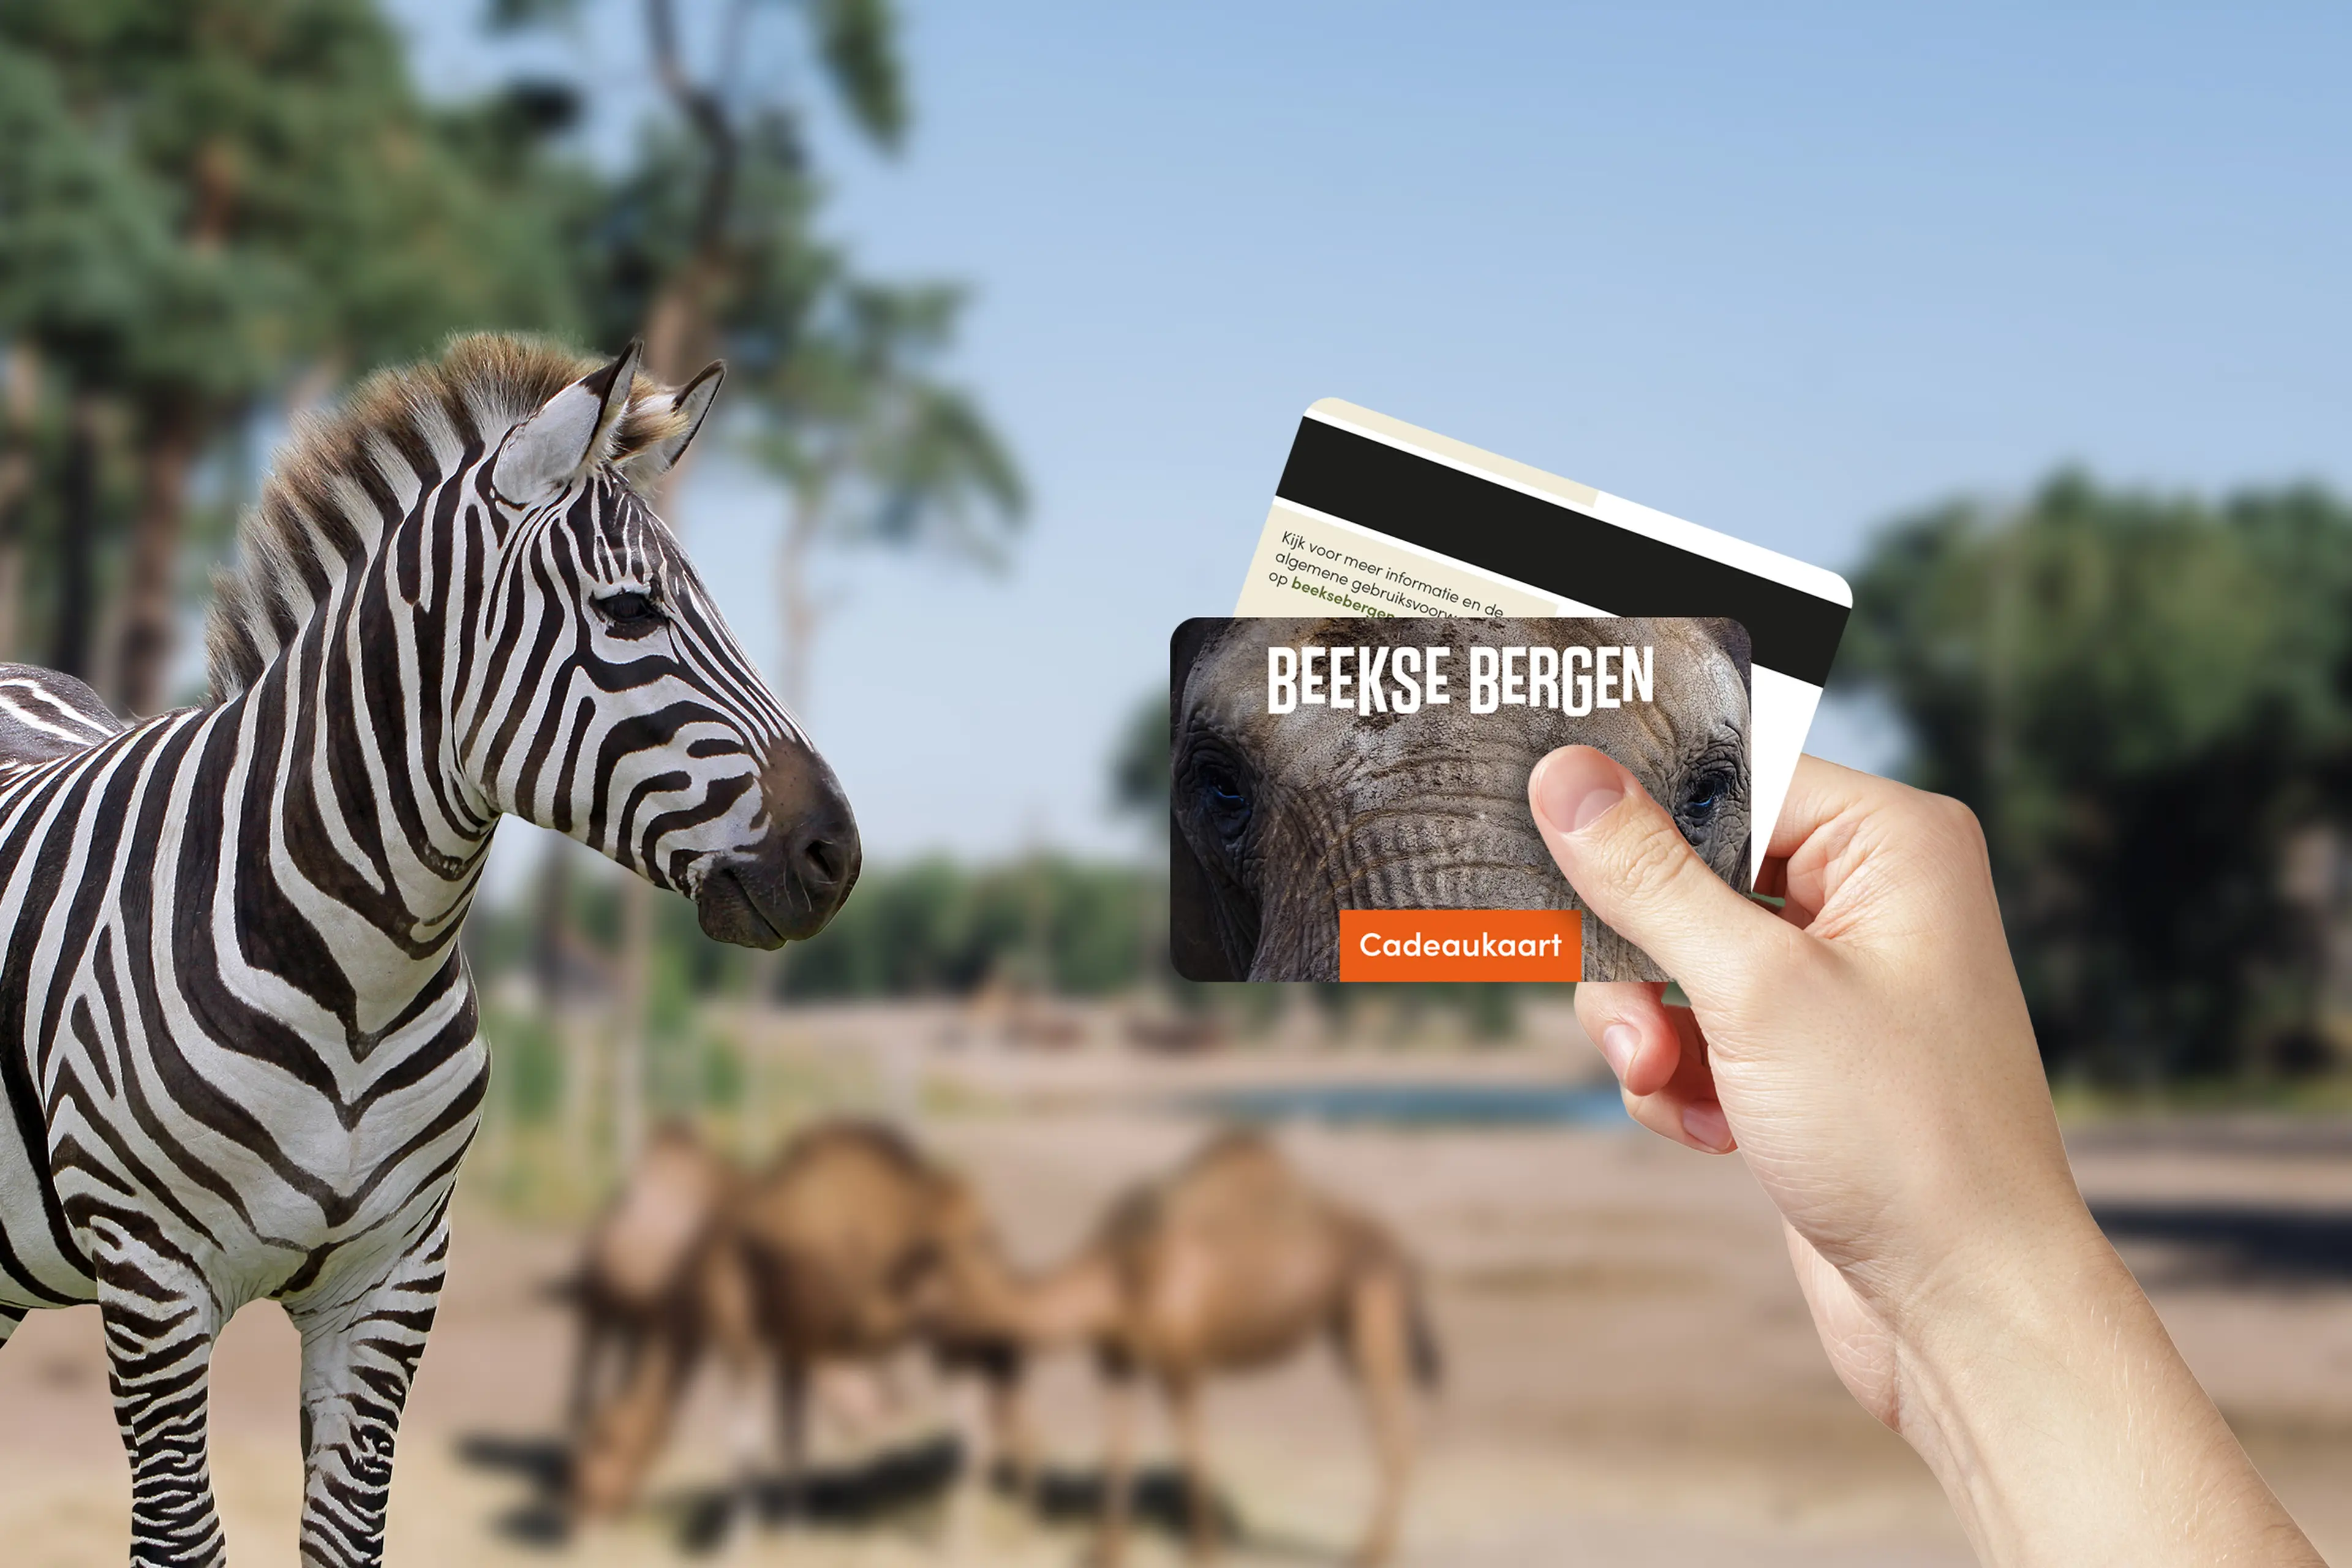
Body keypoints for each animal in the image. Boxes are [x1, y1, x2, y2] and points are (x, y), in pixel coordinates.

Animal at [0, 336, 860, 1565]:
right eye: (630, 611)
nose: (836, 853)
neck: (356, 974)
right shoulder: (154, 1285)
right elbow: (179, 1539)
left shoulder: (394, 1281)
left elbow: (348, 1535)